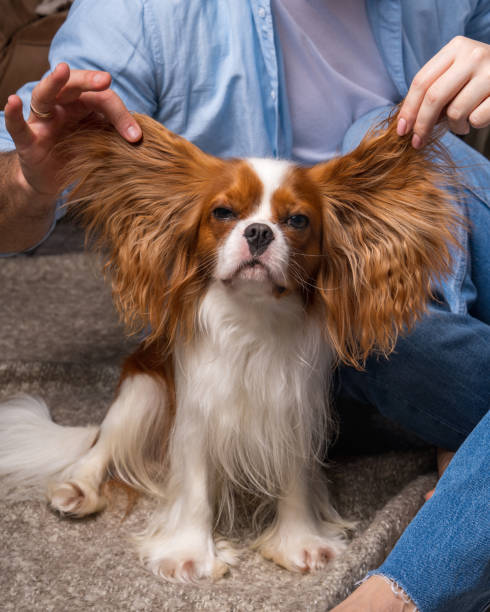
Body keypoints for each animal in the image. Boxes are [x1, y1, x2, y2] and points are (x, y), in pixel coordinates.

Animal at [0, 111, 460, 584]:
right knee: (102, 445)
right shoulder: (196, 414)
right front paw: (189, 554)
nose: (258, 231)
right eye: (222, 213)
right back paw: (77, 488)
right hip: (143, 389)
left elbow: (294, 481)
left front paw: (299, 543)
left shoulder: (294, 411)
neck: (252, 319)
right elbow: (195, 487)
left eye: (297, 221)